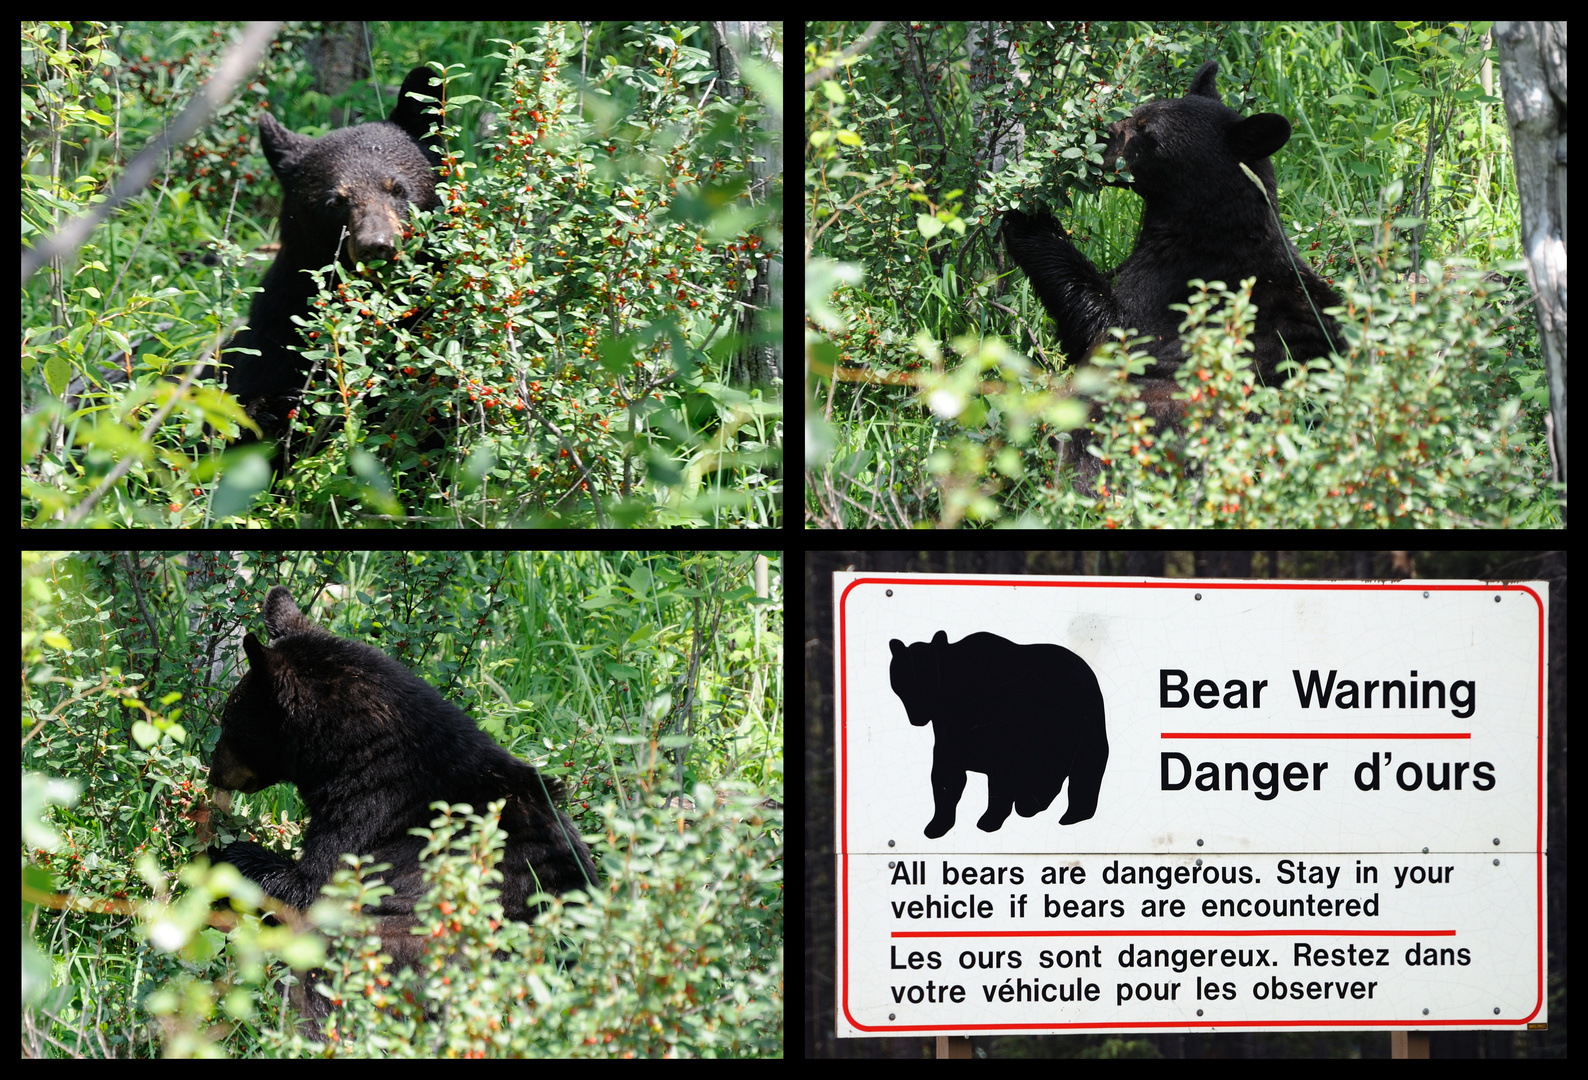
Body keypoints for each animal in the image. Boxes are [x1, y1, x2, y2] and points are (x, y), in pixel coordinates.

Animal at [889, 628, 1111, 838]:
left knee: (1082, 765)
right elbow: (945, 779)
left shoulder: (1001, 741)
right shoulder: (949, 738)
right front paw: (936, 826)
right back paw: (1032, 803)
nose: (917, 715)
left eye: (928, 677)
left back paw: (1069, 814)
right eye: (903, 679)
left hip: (1078, 725)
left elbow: (999, 781)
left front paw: (989, 820)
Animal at [1003, 61, 1340, 492]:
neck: (1204, 230)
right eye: (1137, 110)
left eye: (1146, 131)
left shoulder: (1167, 288)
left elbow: (1099, 323)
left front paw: (1027, 215)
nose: (1094, 134)